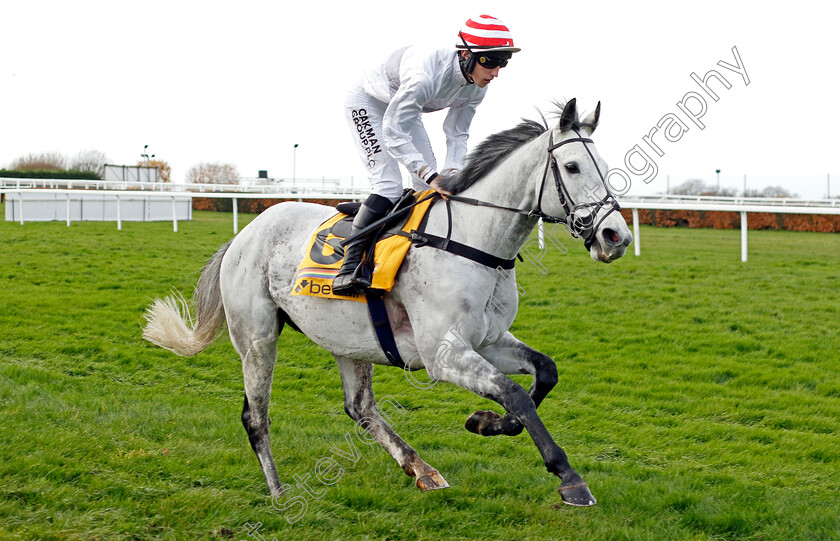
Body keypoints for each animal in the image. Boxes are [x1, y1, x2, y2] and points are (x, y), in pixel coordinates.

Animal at [143, 98, 632, 506]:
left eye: (604, 166)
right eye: (572, 166)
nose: (616, 236)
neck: (472, 242)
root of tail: (244, 234)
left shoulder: (488, 340)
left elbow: (543, 374)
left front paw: (484, 422)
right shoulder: (442, 353)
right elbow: (514, 394)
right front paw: (569, 478)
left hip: (348, 339)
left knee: (360, 408)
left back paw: (422, 469)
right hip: (257, 337)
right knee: (255, 415)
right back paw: (279, 491)